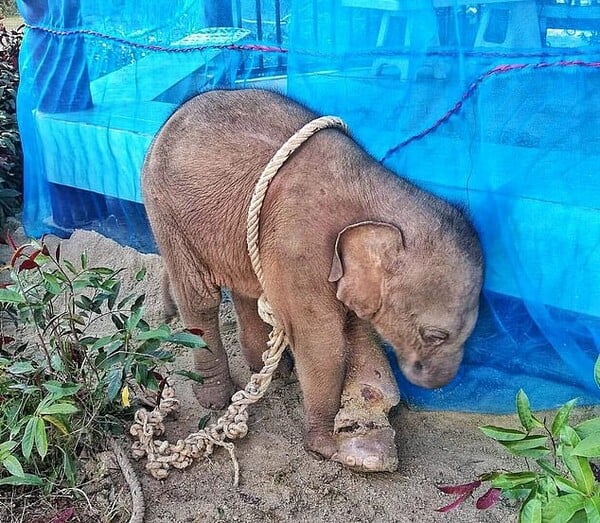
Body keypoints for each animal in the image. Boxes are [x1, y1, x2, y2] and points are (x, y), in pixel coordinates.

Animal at [143, 88, 486, 472]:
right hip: (167, 212)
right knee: (200, 299)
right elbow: (322, 341)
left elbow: (355, 331)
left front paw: (372, 437)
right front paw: (327, 448)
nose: (440, 382)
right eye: (435, 336)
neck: (379, 193)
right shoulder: (298, 247)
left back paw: (274, 371)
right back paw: (216, 398)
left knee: (245, 290)